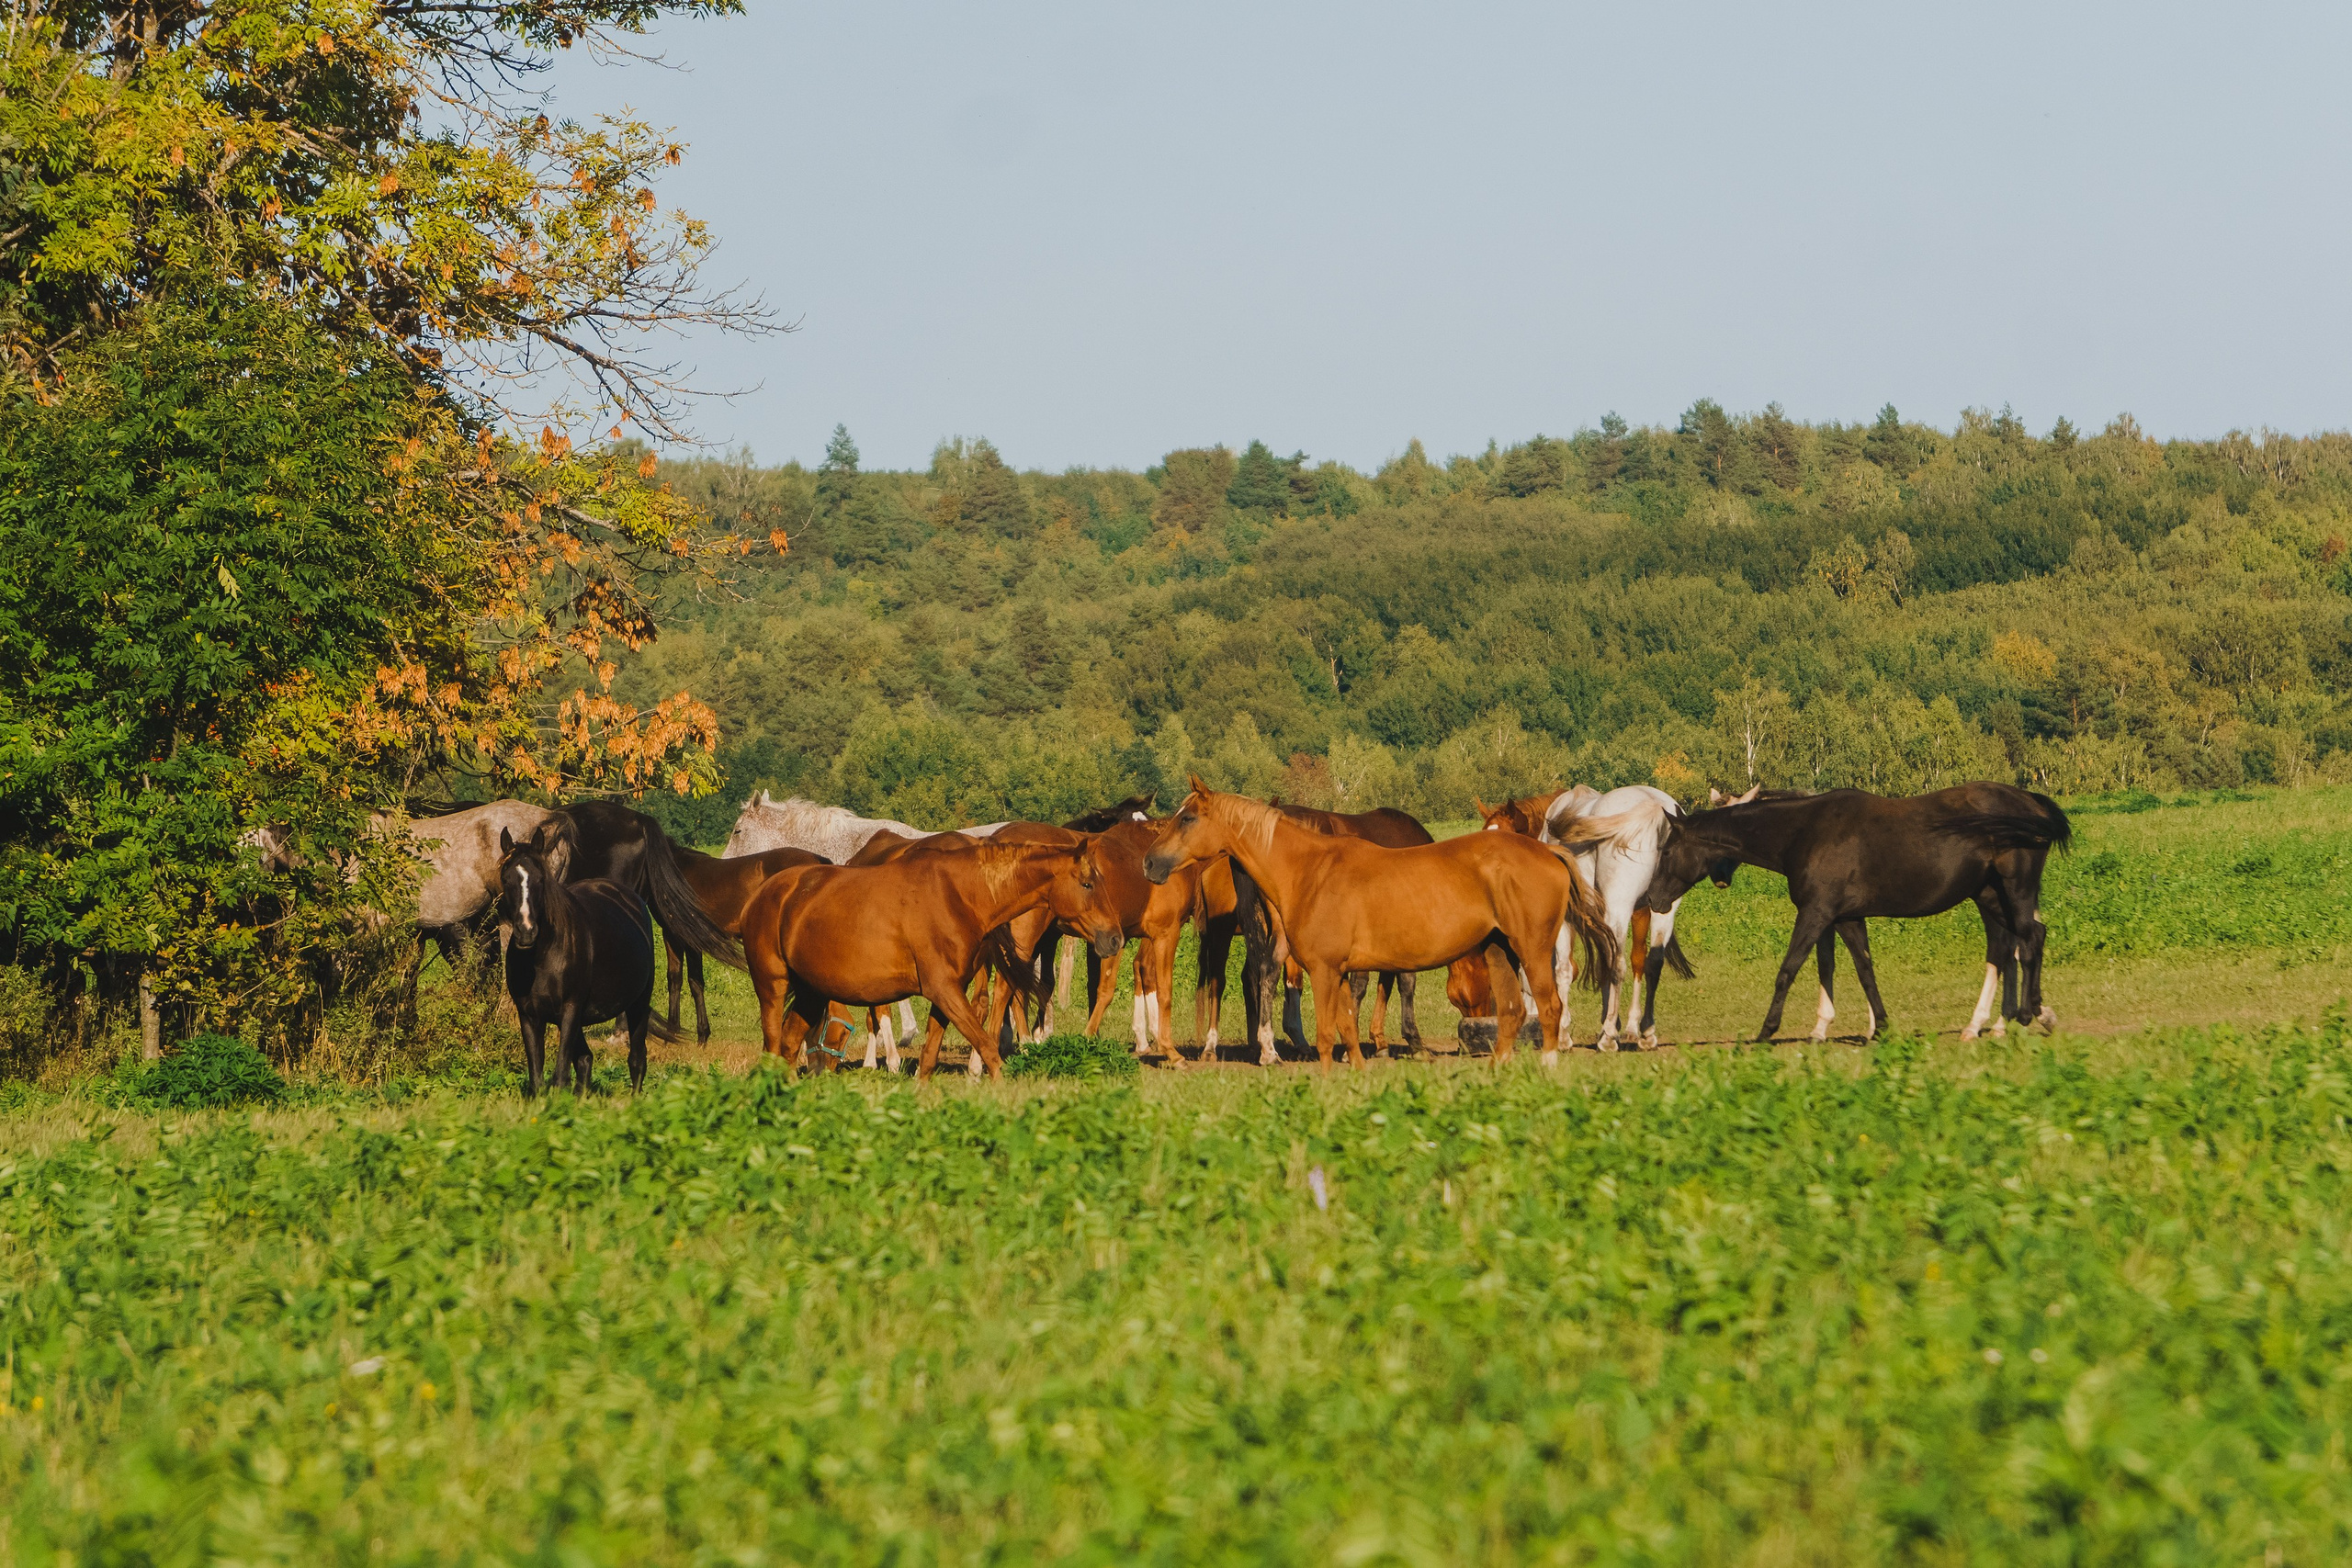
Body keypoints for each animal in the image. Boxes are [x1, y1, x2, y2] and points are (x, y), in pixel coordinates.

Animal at [493, 826, 659, 1097]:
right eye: (506, 879)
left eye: (540, 879)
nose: (526, 931)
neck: (542, 959)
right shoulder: (529, 1015)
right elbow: (537, 1079)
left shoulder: (570, 1009)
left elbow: (560, 1076)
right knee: (585, 1059)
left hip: (638, 1004)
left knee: (636, 1060)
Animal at [741, 837, 1127, 1080]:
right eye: (1088, 884)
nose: (1115, 938)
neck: (960, 895)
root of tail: (762, 895)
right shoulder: (943, 990)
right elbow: (989, 1050)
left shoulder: (948, 993)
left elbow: (928, 1059)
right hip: (772, 989)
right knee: (773, 1046)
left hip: (810, 993)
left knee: (788, 1048)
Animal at [1144, 781, 1618, 1071]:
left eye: (1187, 818)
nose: (1149, 863)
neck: (1310, 868)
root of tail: (1549, 852)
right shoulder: (1337, 970)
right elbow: (1348, 1025)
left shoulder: (1331, 969)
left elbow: (1339, 1026)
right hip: (1501, 951)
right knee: (1515, 1011)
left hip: (1531, 950)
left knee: (1549, 1007)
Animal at [1639, 784, 2071, 1043]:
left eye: (1668, 850)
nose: (1654, 899)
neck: (1805, 832)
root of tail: (2031, 802)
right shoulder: (1844, 918)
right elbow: (1862, 970)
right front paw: (1878, 1027)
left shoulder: (1816, 913)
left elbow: (1788, 969)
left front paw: (1766, 1031)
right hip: (1991, 897)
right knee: (2012, 946)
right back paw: (1998, 1021)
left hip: (2015, 891)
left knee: (2029, 940)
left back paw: (2030, 1014)